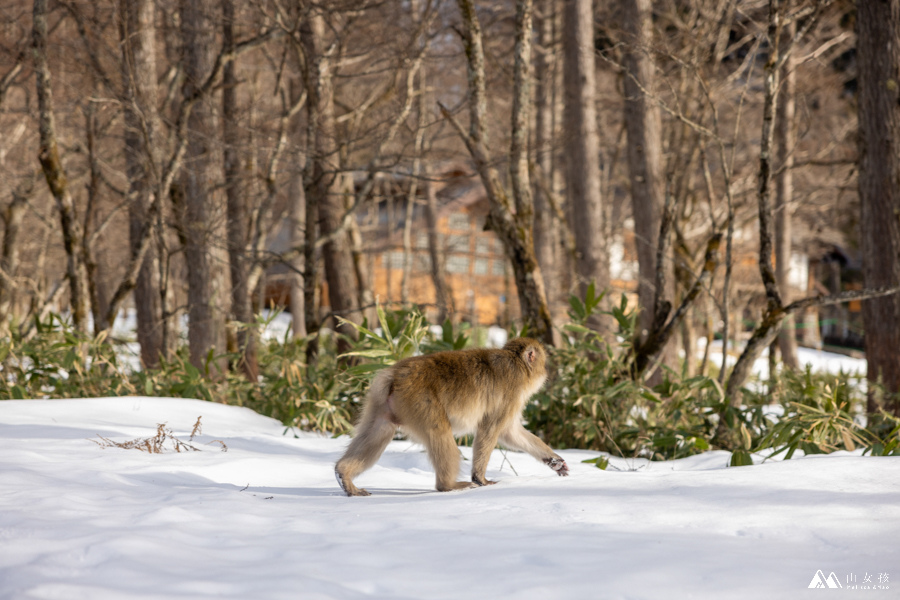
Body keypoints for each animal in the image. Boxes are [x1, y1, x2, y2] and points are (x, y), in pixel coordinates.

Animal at [334, 338, 568, 496]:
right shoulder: (511, 394)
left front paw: (554, 460)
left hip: (382, 404)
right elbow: (490, 430)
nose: (547, 372)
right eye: (543, 363)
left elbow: (510, 433)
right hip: (420, 400)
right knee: (439, 433)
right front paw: (480, 478)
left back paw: (344, 475)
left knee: (378, 432)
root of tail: (394, 375)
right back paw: (448, 486)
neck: (516, 364)